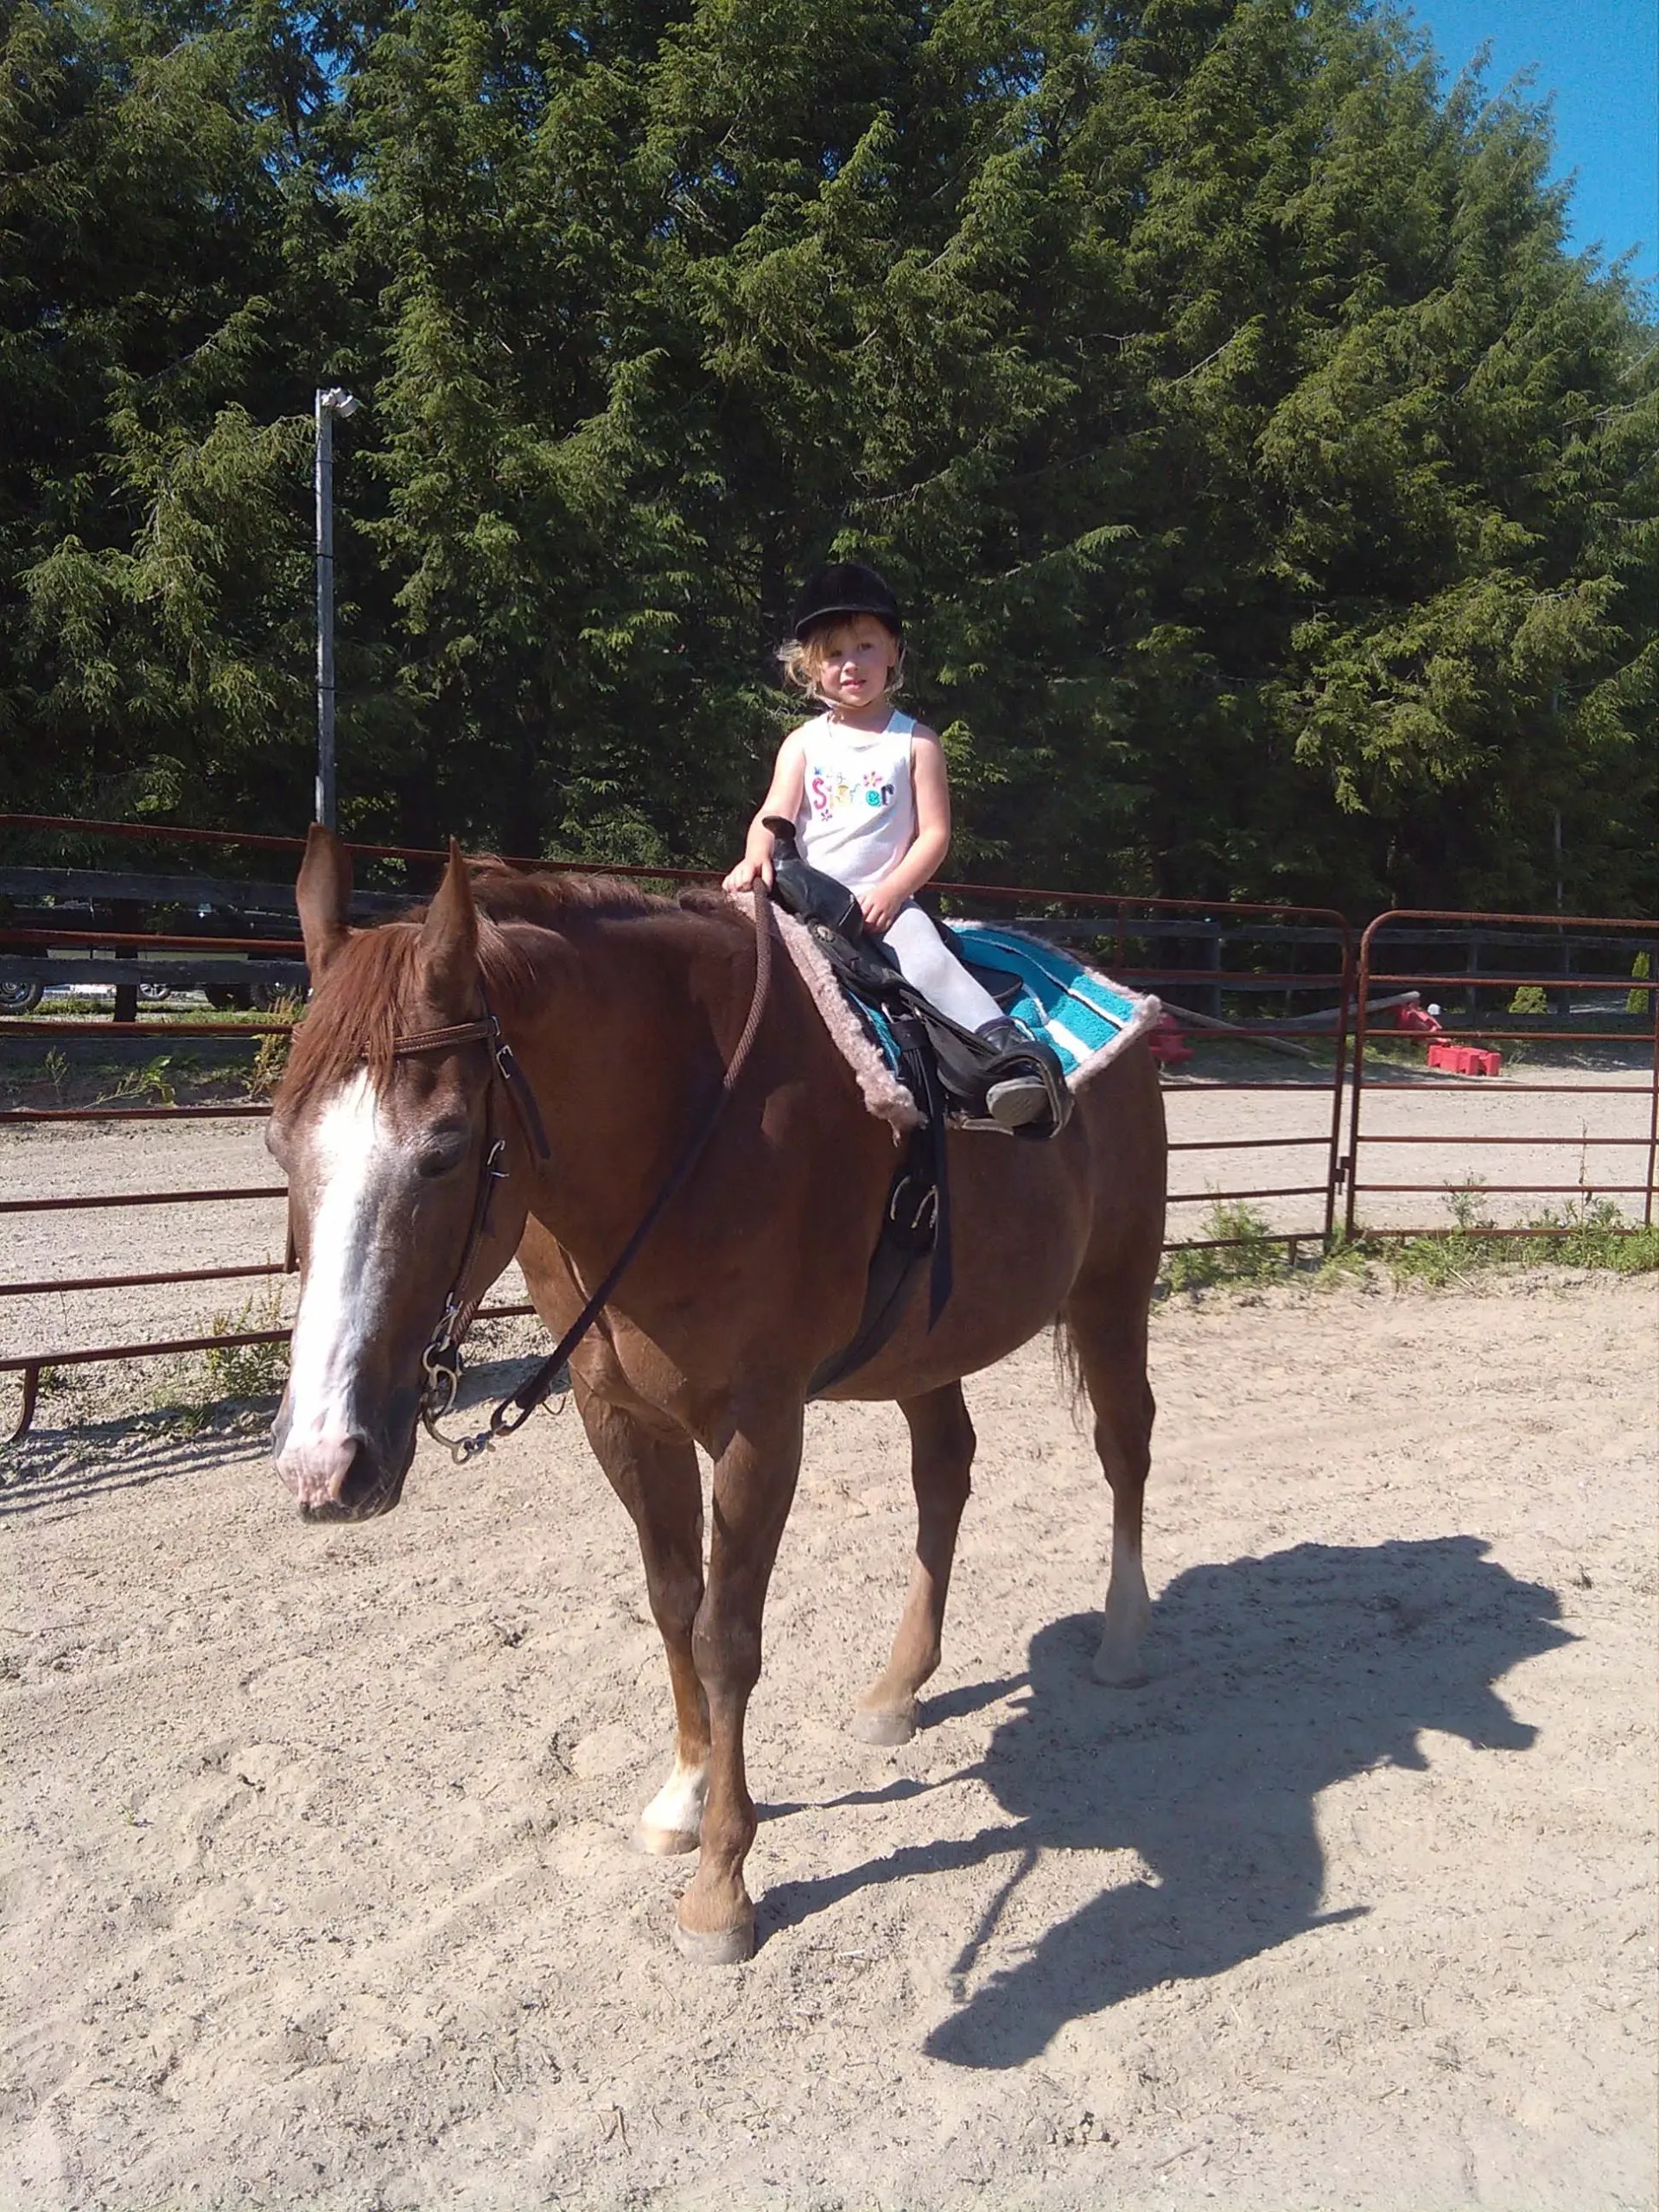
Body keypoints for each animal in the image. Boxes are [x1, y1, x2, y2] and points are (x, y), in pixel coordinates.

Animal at [266, 827, 1167, 1955]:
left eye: (442, 1150)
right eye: (277, 1141)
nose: (324, 1465)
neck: (686, 1121)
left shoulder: (758, 1426)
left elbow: (727, 1636)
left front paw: (722, 1886)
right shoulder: (619, 1418)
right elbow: (671, 1603)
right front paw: (685, 1797)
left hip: (1114, 1286)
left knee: (1124, 1442)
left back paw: (1125, 1638)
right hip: (930, 1343)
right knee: (945, 1472)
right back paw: (897, 1689)